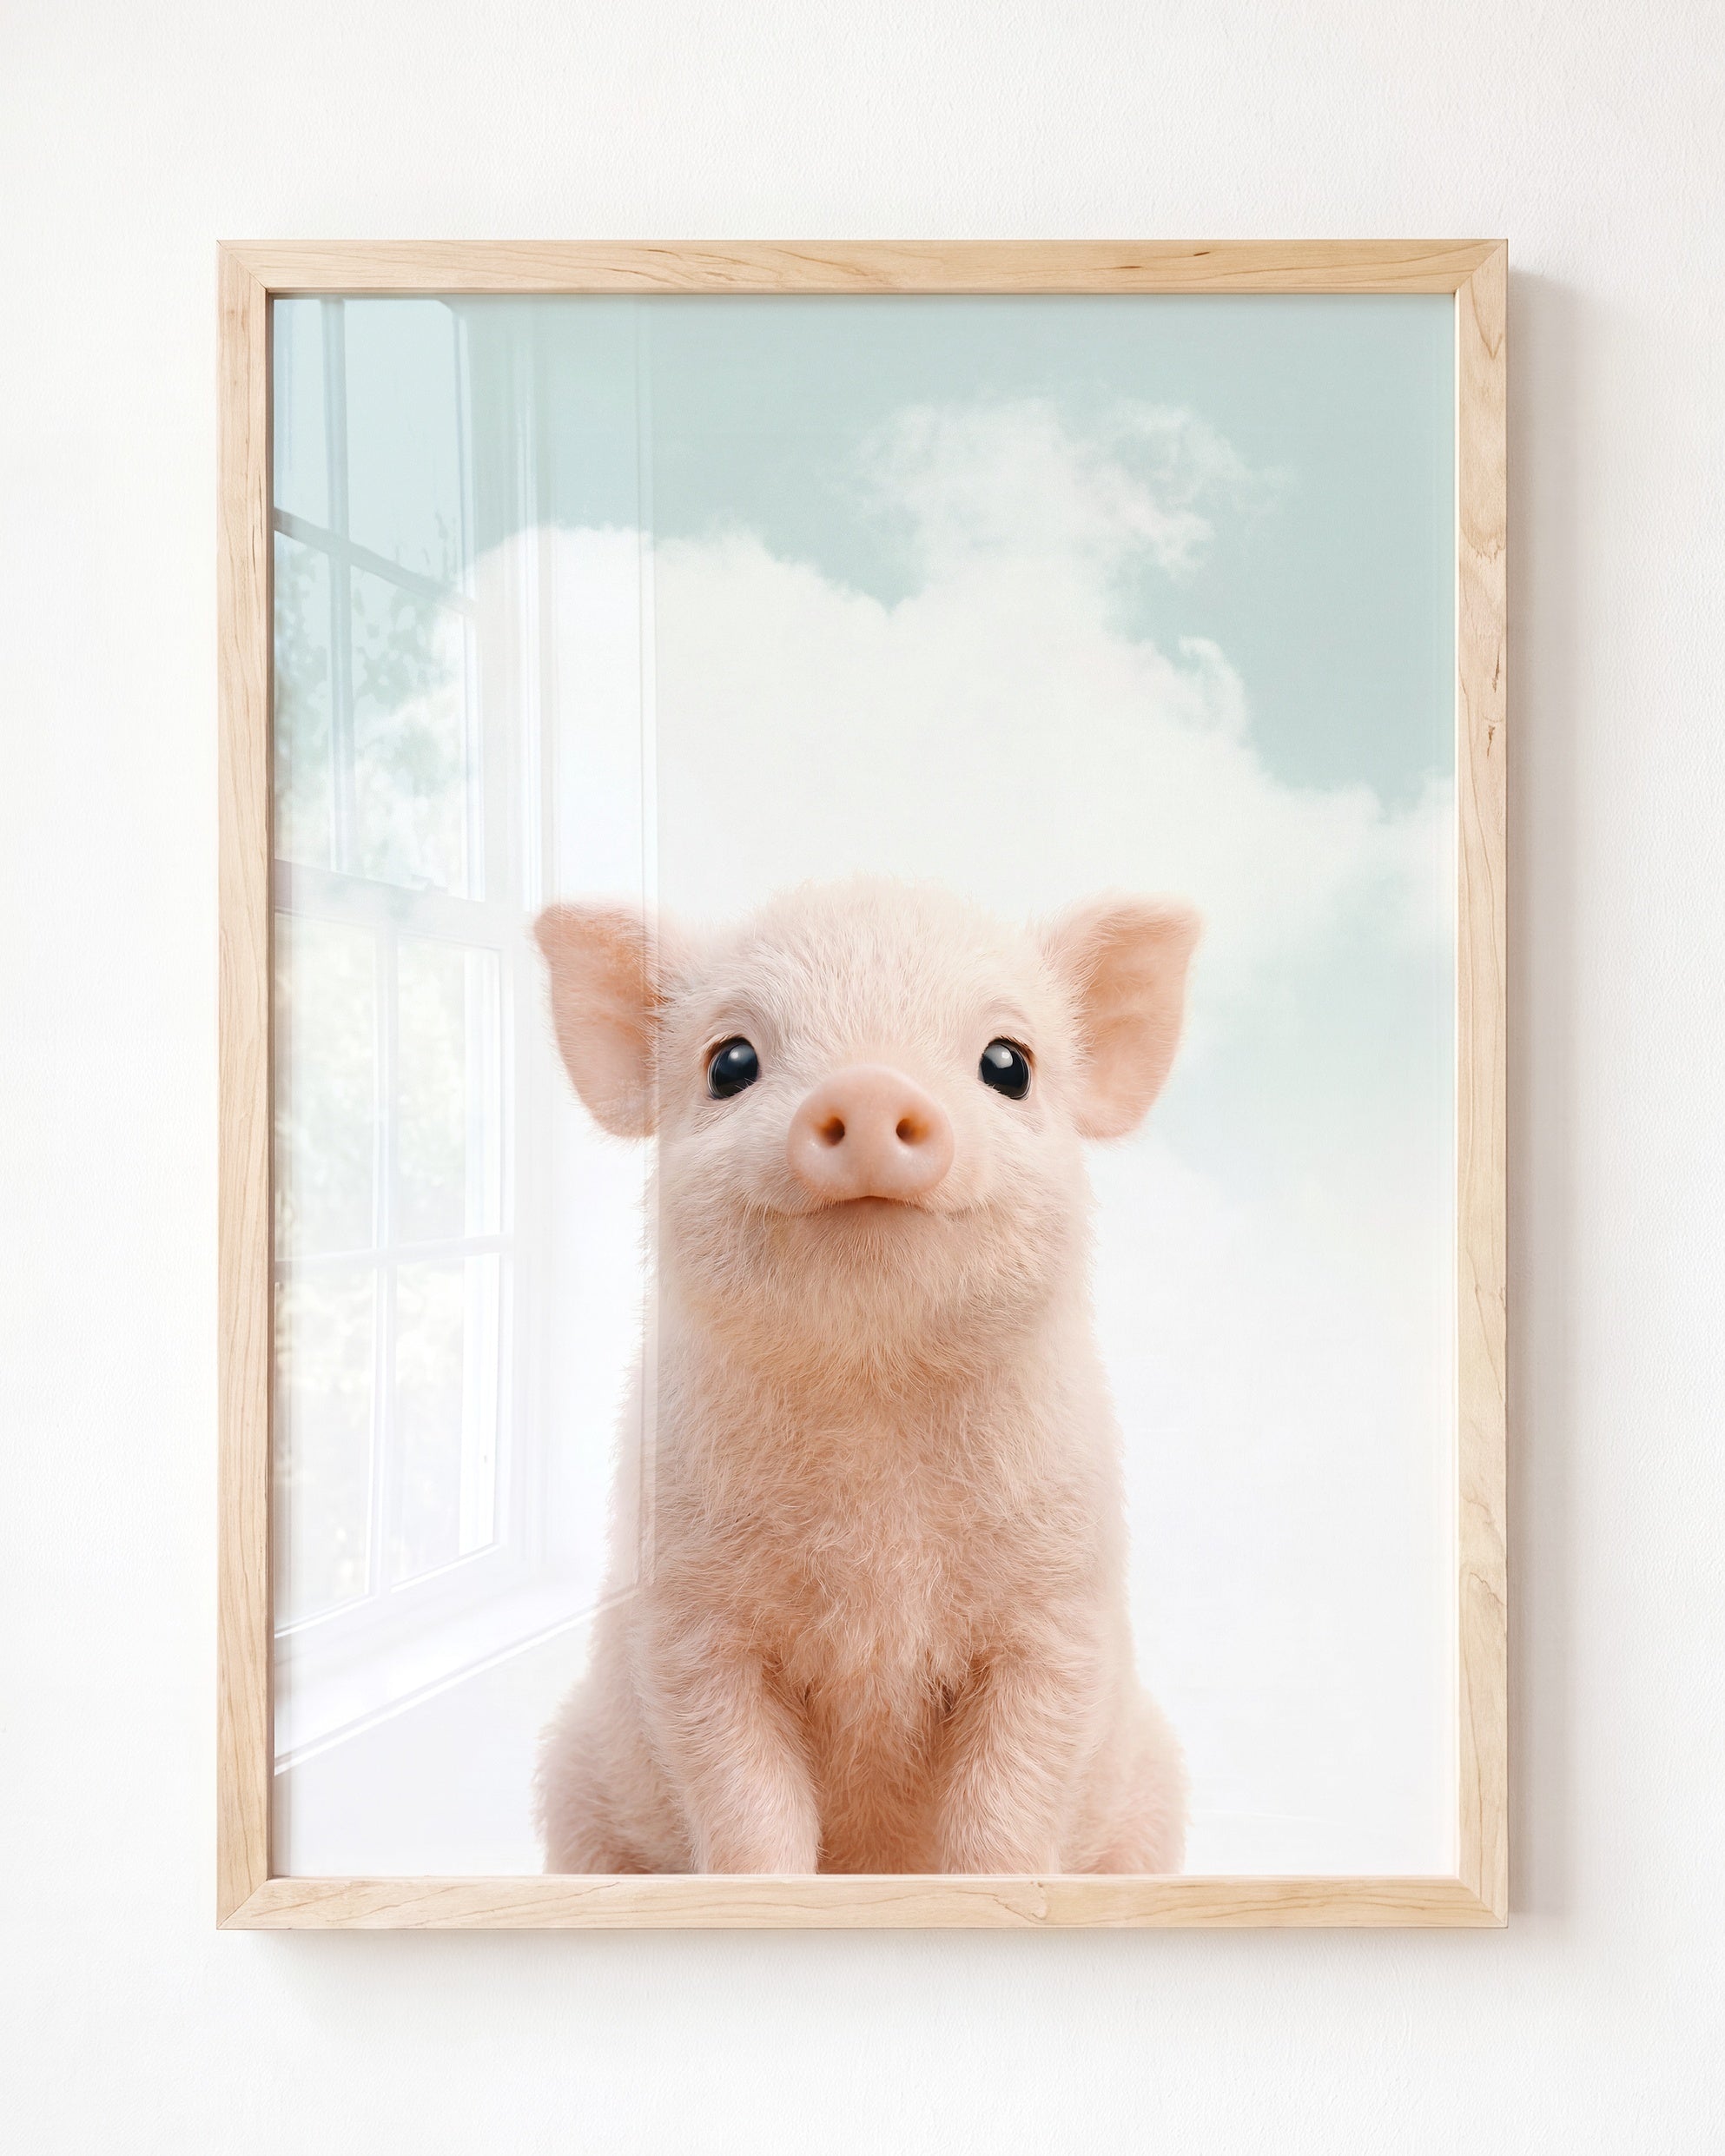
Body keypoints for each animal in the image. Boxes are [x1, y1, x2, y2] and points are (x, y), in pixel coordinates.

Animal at [531, 877, 1197, 1874]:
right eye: (730, 1062)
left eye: (1009, 1064)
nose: (871, 1084)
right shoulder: (688, 1624)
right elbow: (749, 1805)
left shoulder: (1059, 1613)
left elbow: (1005, 1809)